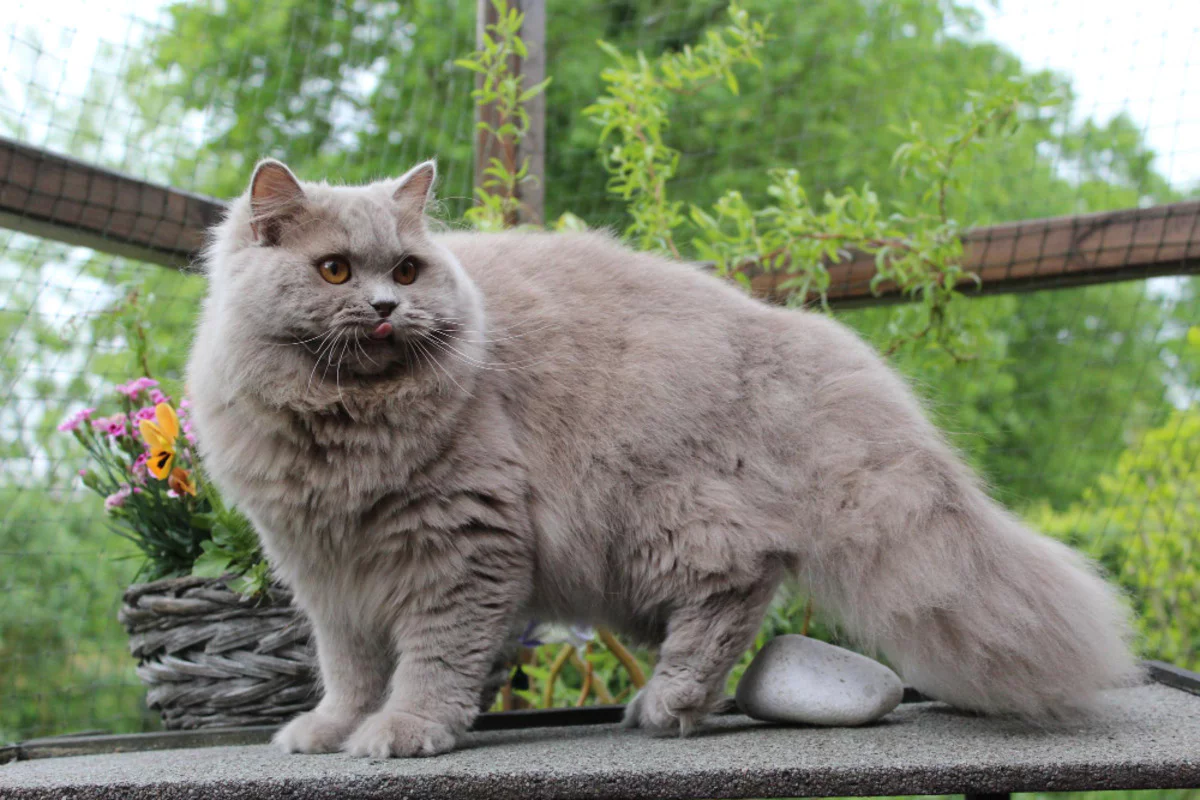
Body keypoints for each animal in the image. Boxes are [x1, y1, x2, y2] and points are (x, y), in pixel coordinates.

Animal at [187, 159, 1132, 762]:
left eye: (409, 271)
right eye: (335, 271)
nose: (387, 307)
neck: (350, 426)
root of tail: (785, 333)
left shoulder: (462, 549)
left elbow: (433, 660)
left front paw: (404, 732)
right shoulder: (326, 575)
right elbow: (348, 672)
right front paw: (328, 731)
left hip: (656, 526)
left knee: (738, 593)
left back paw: (666, 706)